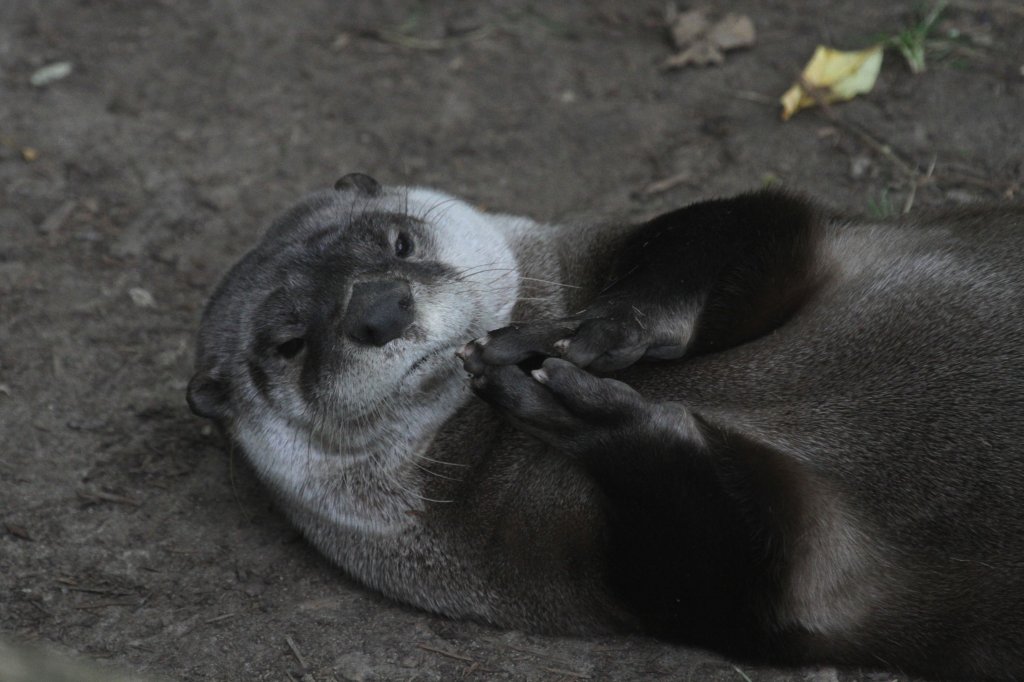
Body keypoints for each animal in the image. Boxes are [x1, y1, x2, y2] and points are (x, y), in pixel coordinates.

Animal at [188, 173, 1024, 675]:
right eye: (289, 342)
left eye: (400, 241)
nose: (379, 307)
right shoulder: (591, 570)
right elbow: (752, 578)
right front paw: (585, 418)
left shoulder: (652, 241)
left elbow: (755, 223)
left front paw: (604, 328)